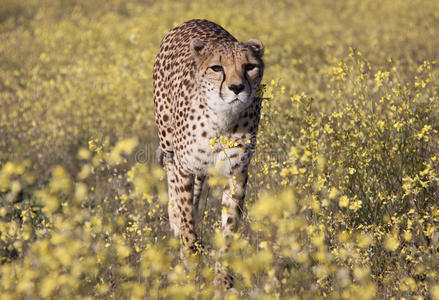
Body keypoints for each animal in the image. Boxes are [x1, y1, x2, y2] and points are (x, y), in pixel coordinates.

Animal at [153, 19, 266, 288]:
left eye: (249, 67)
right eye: (217, 68)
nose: (236, 88)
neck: (222, 117)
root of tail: (194, 20)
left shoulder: (237, 172)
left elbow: (229, 228)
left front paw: (223, 280)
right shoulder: (184, 166)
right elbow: (185, 217)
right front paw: (191, 264)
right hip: (168, 141)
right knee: (172, 178)